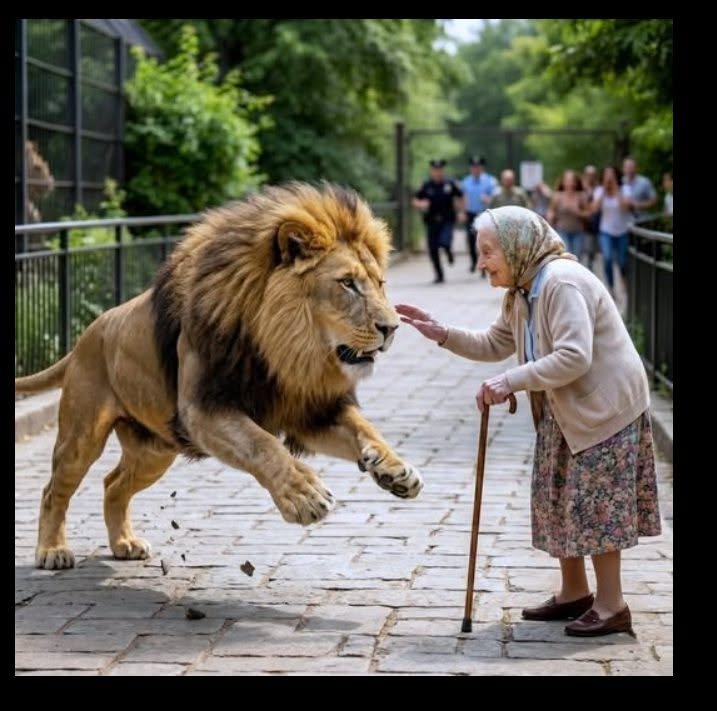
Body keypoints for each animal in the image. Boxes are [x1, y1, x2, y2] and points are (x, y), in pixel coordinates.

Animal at [16, 181, 424, 570]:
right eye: (347, 283)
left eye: (380, 283)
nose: (392, 328)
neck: (287, 350)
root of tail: (85, 336)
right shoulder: (203, 410)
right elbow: (262, 444)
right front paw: (303, 495)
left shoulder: (310, 411)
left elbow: (363, 428)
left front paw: (394, 468)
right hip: (82, 437)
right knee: (54, 490)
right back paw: (52, 551)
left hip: (154, 451)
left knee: (113, 484)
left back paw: (124, 544)